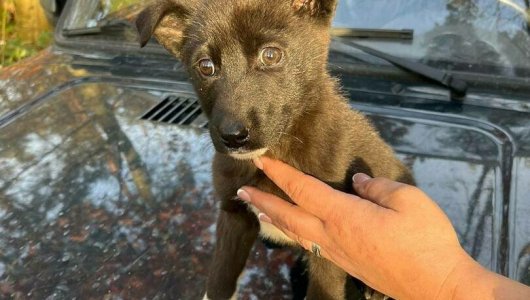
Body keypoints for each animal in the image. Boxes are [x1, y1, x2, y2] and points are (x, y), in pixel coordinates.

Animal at [133, 1, 412, 298]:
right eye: (205, 66)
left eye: (270, 55)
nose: (233, 136)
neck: (272, 154)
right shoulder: (233, 214)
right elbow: (220, 274)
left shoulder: (328, 242)